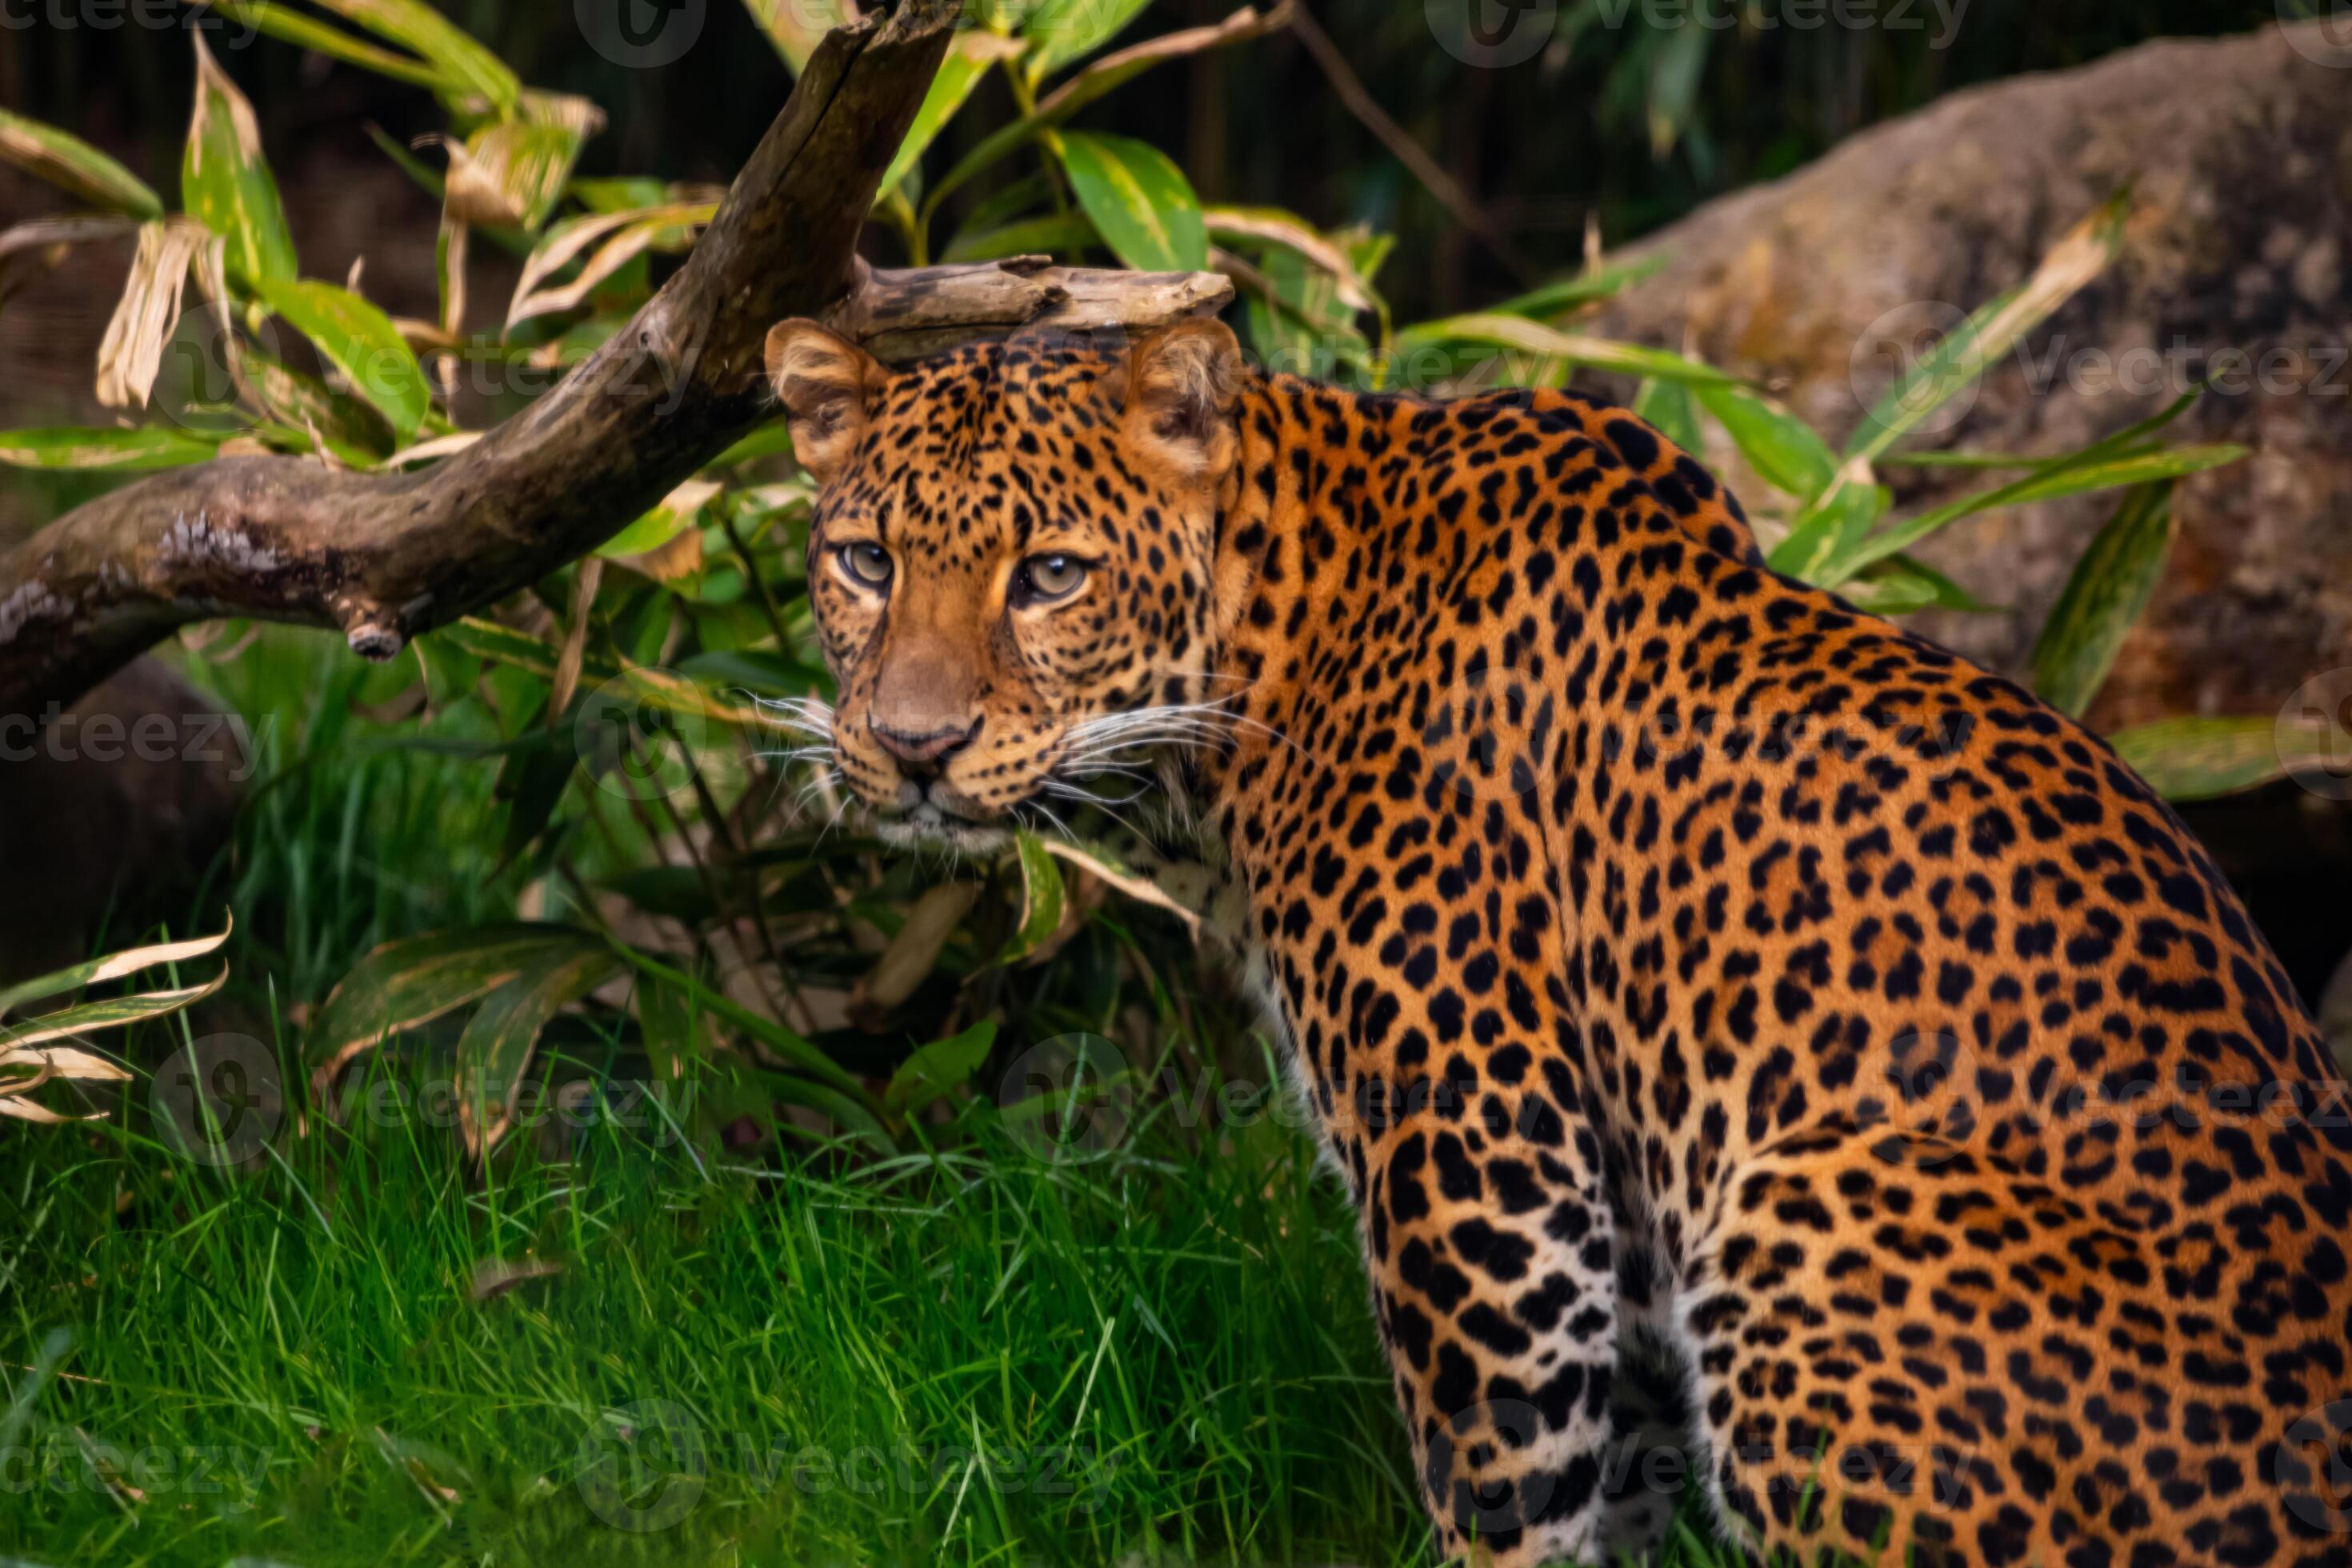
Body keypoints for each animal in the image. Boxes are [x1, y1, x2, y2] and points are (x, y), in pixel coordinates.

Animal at [761, 312, 2352, 1568]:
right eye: (863, 561)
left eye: (1049, 576)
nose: (910, 748)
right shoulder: (1619, 1206)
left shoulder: (1484, 1153)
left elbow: (1505, 1483)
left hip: (1810, 1195)